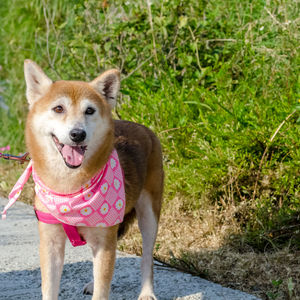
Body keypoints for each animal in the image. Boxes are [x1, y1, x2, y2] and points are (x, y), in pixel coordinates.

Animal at [23, 59, 164, 298]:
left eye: (89, 110)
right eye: (58, 108)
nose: (77, 134)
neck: (70, 188)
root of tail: (144, 128)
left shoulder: (105, 240)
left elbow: (102, 288)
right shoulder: (51, 244)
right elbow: (50, 288)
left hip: (149, 216)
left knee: (147, 259)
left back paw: (146, 292)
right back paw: (92, 282)